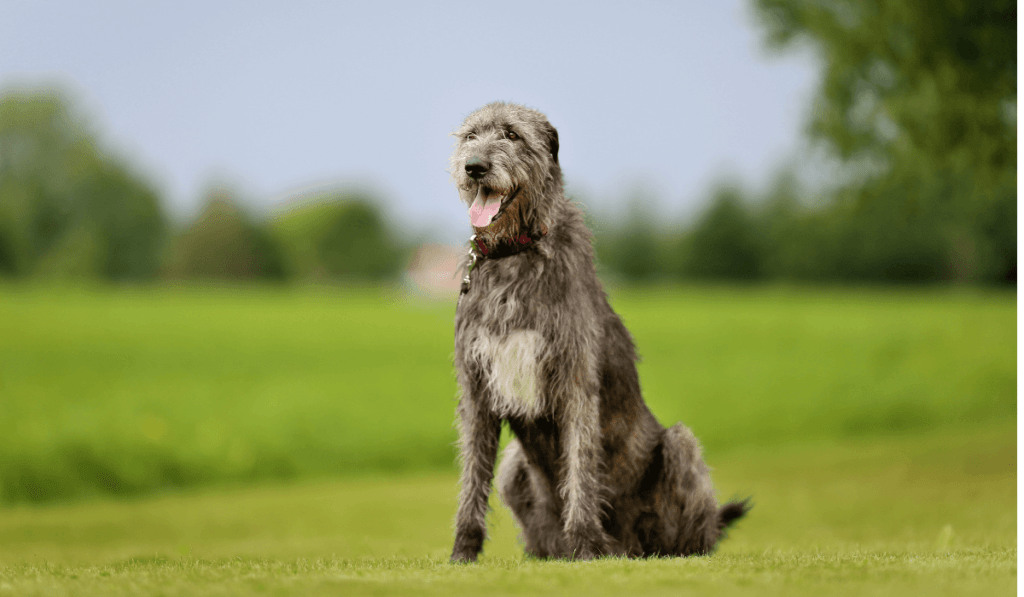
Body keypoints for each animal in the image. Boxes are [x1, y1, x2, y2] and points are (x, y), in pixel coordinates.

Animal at [448, 100, 745, 561]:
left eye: (512, 135)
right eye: (470, 137)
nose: (474, 166)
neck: (514, 254)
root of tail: (628, 545)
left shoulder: (575, 379)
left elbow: (580, 466)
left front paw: (586, 544)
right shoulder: (477, 386)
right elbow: (472, 476)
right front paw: (462, 552)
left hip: (680, 447)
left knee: (691, 526)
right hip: (515, 465)